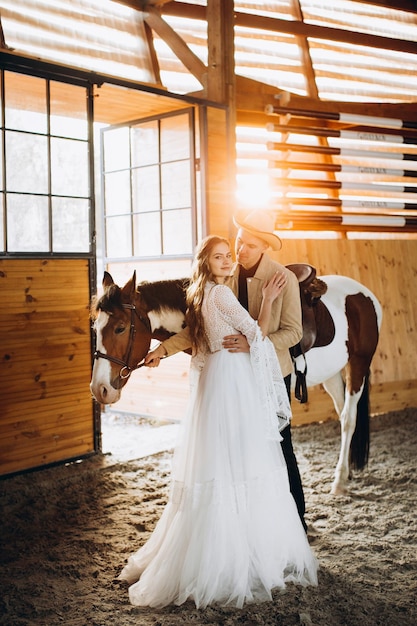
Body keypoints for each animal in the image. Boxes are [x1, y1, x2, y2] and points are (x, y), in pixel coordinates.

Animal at [90, 268, 380, 492]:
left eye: (120, 328)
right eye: (95, 328)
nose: (99, 389)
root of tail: (364, 294)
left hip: (358, 364)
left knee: (349, 418)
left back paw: (340, 481)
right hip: (332, 374)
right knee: (342, 413)